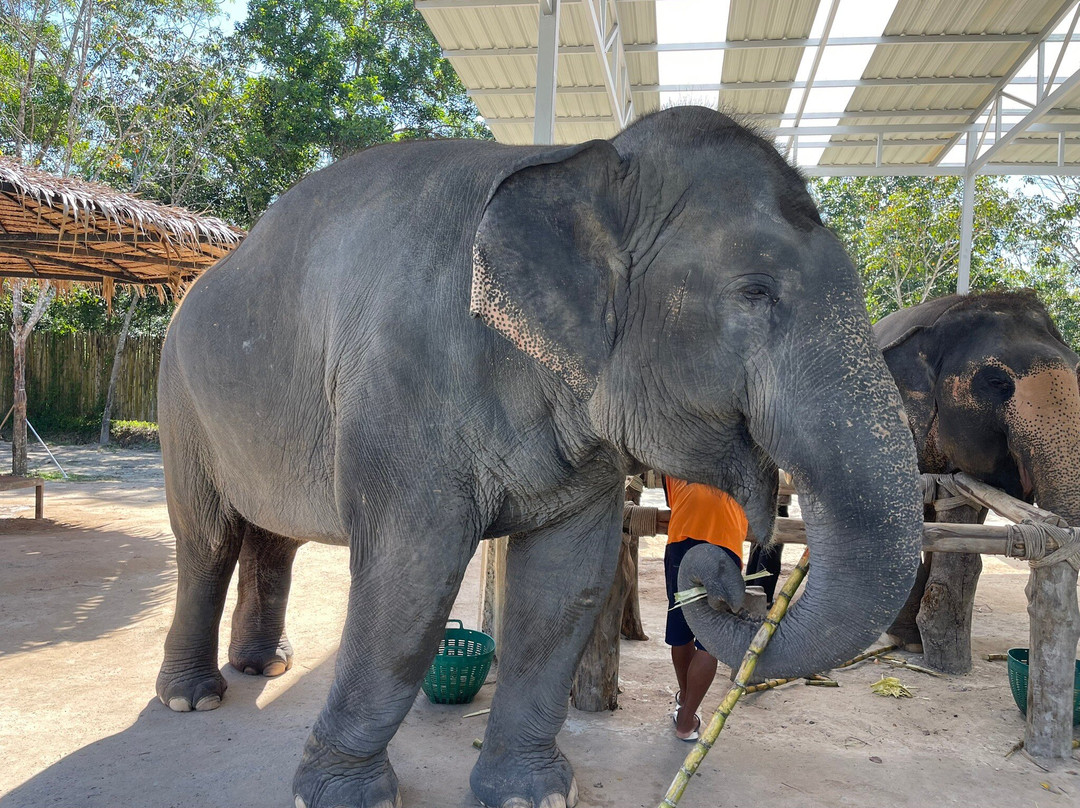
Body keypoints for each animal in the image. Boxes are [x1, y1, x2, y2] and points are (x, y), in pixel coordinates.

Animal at [155, 106, 922, 808]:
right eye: (755, 292)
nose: (728, 581)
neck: (579, 160)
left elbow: (566, 578)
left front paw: (534, 796)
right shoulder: (402, 380)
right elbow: (412, 573)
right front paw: (345, 800)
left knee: (273, 536)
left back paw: (267, 668)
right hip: (180, 399)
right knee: (208, 536)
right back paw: (193, 699)